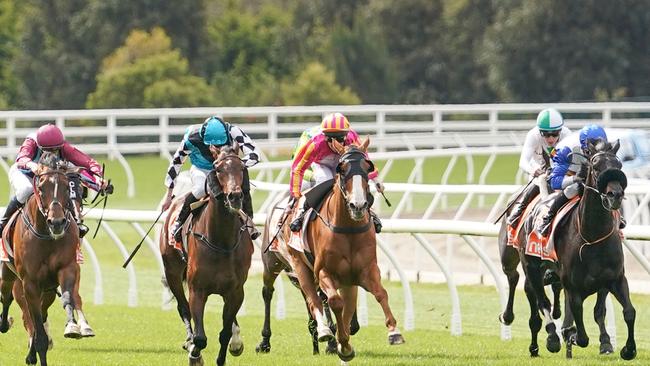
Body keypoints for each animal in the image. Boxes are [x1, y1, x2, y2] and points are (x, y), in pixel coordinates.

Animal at [0, 152, 83, 366]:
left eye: (66, 186)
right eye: (42, 187)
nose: (57, 222)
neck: (46, 235)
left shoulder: (66, 268)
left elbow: (68, 297)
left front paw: (73, 326)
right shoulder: (30, 283)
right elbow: (40, 335)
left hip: (48, 290)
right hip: (8, 274)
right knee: (7, 297)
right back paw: (4, 323)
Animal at [159, 145, 253, 366]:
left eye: (242, 167)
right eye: (218, 169)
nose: (234, 197)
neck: (221, 241)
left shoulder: (236, 291)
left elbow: (224, 333)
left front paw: (230, 347)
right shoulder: (197, 290)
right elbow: (200, 337)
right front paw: (195, 354)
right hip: (172, 273)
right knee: (183, 308)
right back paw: (189, 341)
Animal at [282, 139, 400, 362]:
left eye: (367, 167)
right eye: (342, 170)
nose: (358, 205)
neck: (348, 228)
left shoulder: (367, 270)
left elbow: (381, 293)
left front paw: (394, 331)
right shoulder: (323, 272)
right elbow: (335, 302)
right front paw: (342, 345)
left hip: (348, 281)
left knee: (346, 305)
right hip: (300, 265)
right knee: (313, 300)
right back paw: (324, 332)